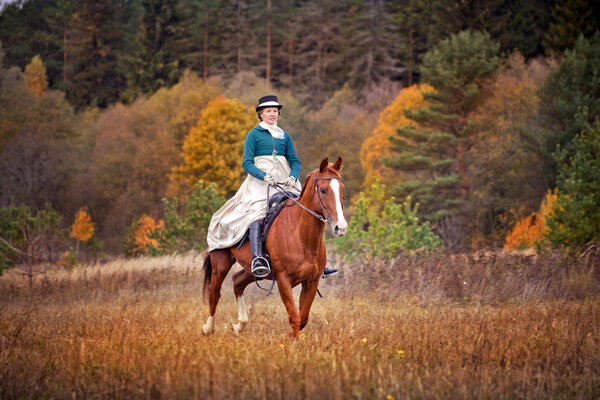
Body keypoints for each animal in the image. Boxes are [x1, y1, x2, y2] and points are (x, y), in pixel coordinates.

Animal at [203, 157, 346, 338]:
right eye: (323, 190)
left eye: (342, 189)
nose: (340, 227)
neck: (301, 237)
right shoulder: (283, 279)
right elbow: (294, 317)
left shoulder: (311, 282)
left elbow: (303, 318)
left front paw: (291, 337)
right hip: (220, 263)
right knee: (214, 292)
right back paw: (208, 328)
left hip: (255, 271)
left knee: (237, 282)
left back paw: (239, 325)